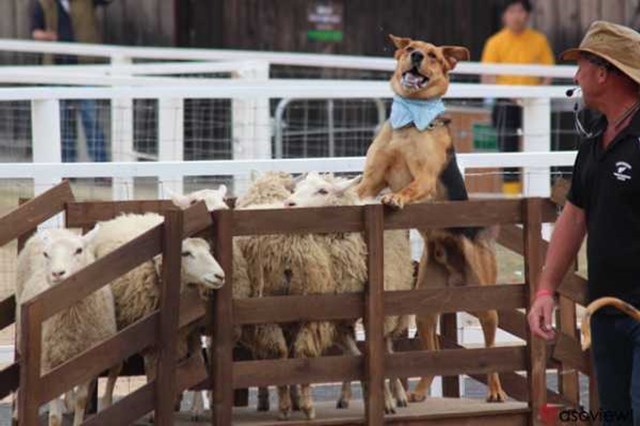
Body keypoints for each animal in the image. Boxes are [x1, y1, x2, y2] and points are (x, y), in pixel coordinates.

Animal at [14, 226, 120, 426]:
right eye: (46, 254)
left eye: (79, 250)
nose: (58, 273)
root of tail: (56, 228)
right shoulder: (47, 362)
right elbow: (55, 417)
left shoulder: (89, 358)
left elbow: (81, 400)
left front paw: (77, 415)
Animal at [284, 171, 416, 414]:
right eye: (296, 189)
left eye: (323, 191)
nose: (288, 204)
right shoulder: (338, 318)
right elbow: (355, 356)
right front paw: (372, 396)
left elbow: (376, 353)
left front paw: (386, 400)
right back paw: (345, 397)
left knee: (389, 347)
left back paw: (400, 395)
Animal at [356, 35, 504, 402]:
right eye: (411, 49)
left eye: (434, 55)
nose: (418, 57)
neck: (410, 119)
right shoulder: (371, 179)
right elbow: (358, 188)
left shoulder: (423, 178)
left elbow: (410, 188)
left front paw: (395, 198)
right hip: (423, 308)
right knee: (432, 353)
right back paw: (420, 391)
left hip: (485, 301)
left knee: (493, 348)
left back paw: (495, 390)